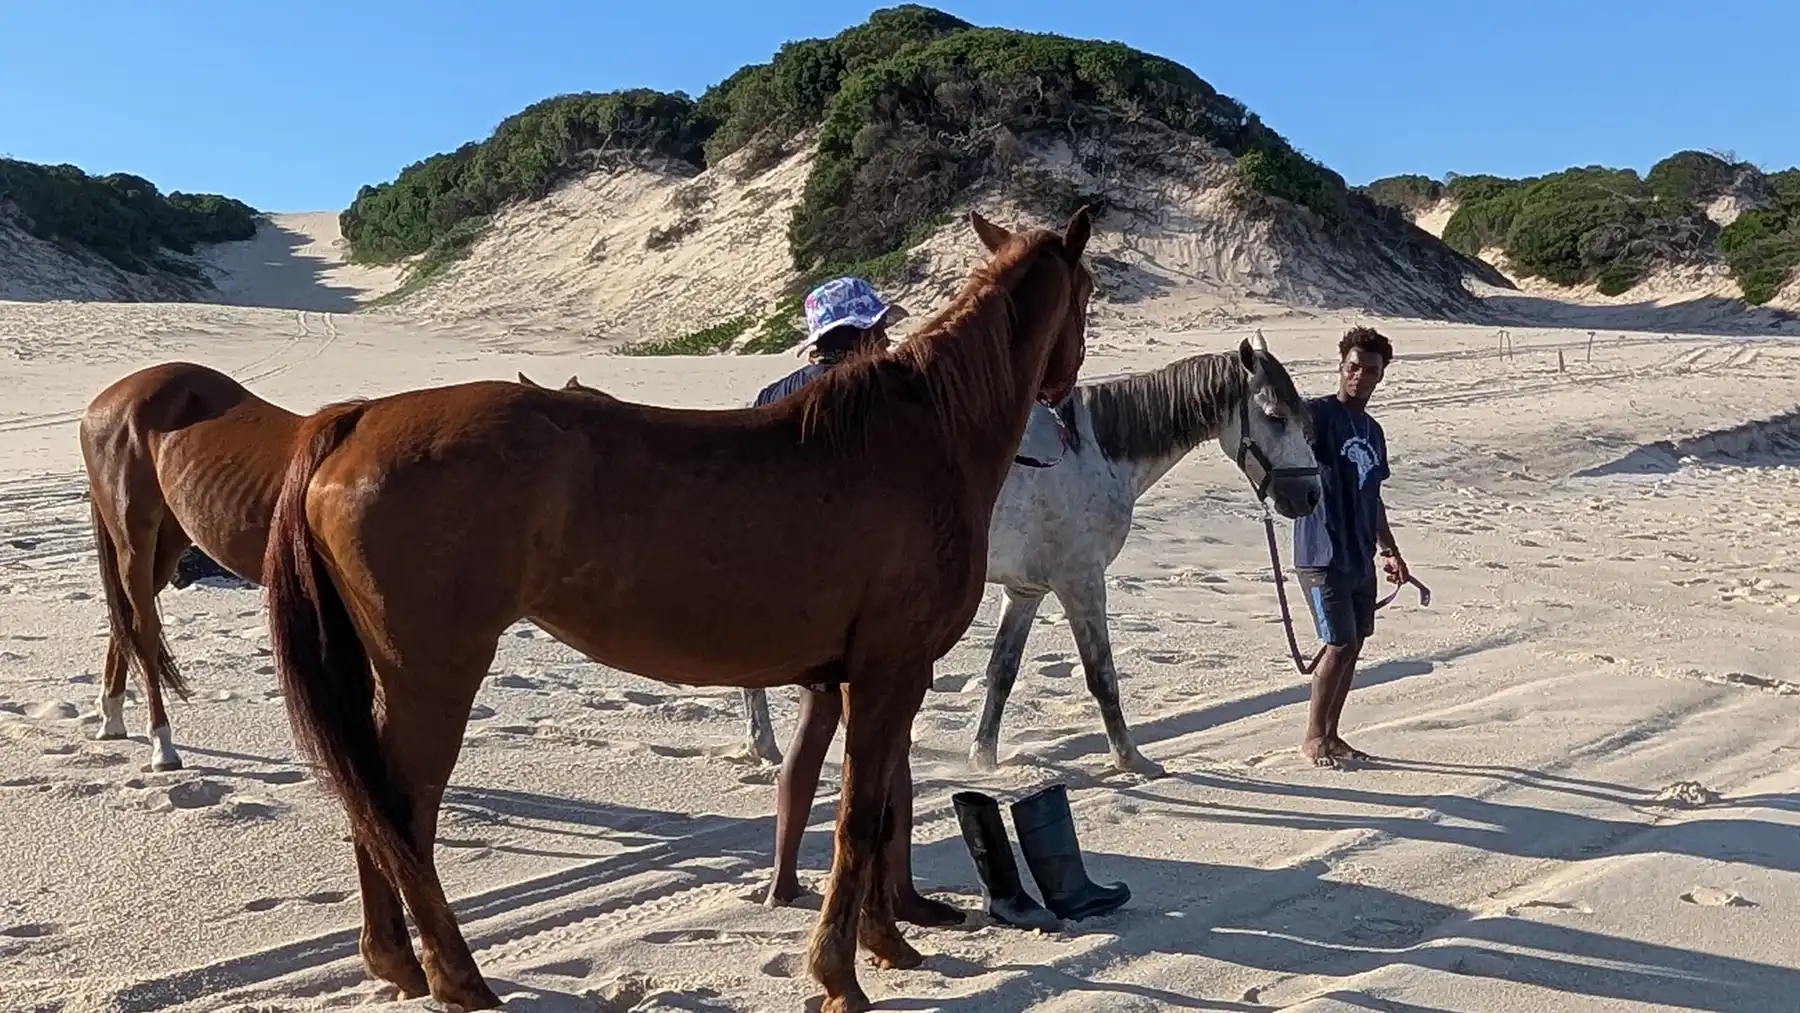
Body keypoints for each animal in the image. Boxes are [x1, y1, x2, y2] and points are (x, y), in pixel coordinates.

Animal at [78, 363, 591, 771]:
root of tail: (104, 403)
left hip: (170, 541)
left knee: (126, 619)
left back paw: (111, 717)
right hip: (135, 538)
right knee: (143, 630)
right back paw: (161, 746)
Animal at [259, 207, 1095, 1013]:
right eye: (1088, 295)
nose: (1068, 405)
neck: (928, 434)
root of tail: (358, 418)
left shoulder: (870, 676)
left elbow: (881, 806)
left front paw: (887, 944)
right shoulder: (893, 670)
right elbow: (861, 815)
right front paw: (839, 973)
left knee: (373, 806)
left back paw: (398, 962)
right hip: (434, 678)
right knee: (401, 812)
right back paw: (459, 977)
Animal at [738, 331, 1323, 775]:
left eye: (1302, 416)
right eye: (1274, 415)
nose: (1310, 496)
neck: (1094, 451)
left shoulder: (1026, 591)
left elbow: (1002, 670)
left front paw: (984, 757)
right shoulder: (1081, 582)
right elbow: (1101, 674)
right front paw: (1131, 759)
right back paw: (765, 746)